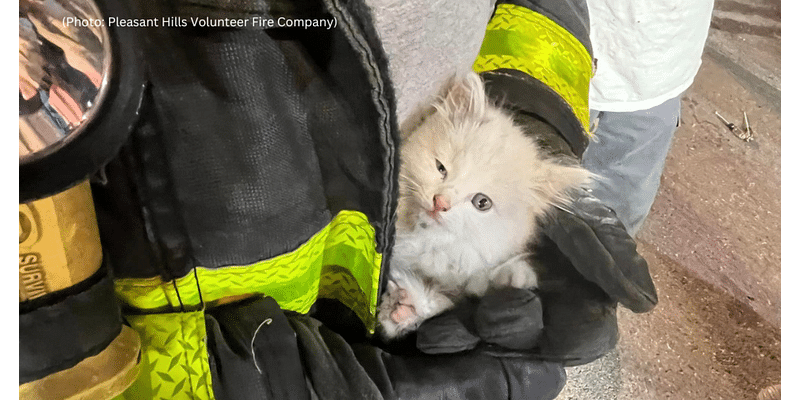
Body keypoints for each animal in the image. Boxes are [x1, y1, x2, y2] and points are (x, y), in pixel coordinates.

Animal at [378, 72, 592, 338]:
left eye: (482, 202)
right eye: (440, 168)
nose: (440, 202)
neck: (427, 241)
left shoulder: (464, 278)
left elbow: (466, 290)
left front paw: (512, 278)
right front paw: (400, 307)